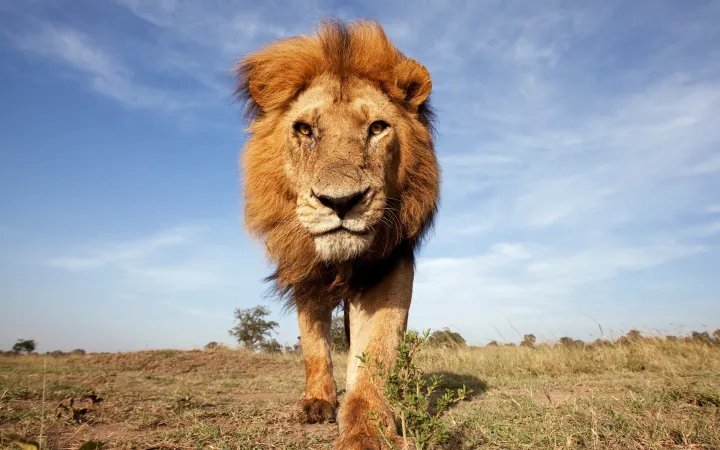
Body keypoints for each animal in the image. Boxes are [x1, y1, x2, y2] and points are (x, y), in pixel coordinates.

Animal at [234, 19, 439, 449]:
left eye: (377, 128)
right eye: (304, 129)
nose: (341, 202)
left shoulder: (390, 267)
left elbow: (378, 351)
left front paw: (367, 430)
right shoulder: (305, 274)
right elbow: (314, 346)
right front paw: (318, 403)